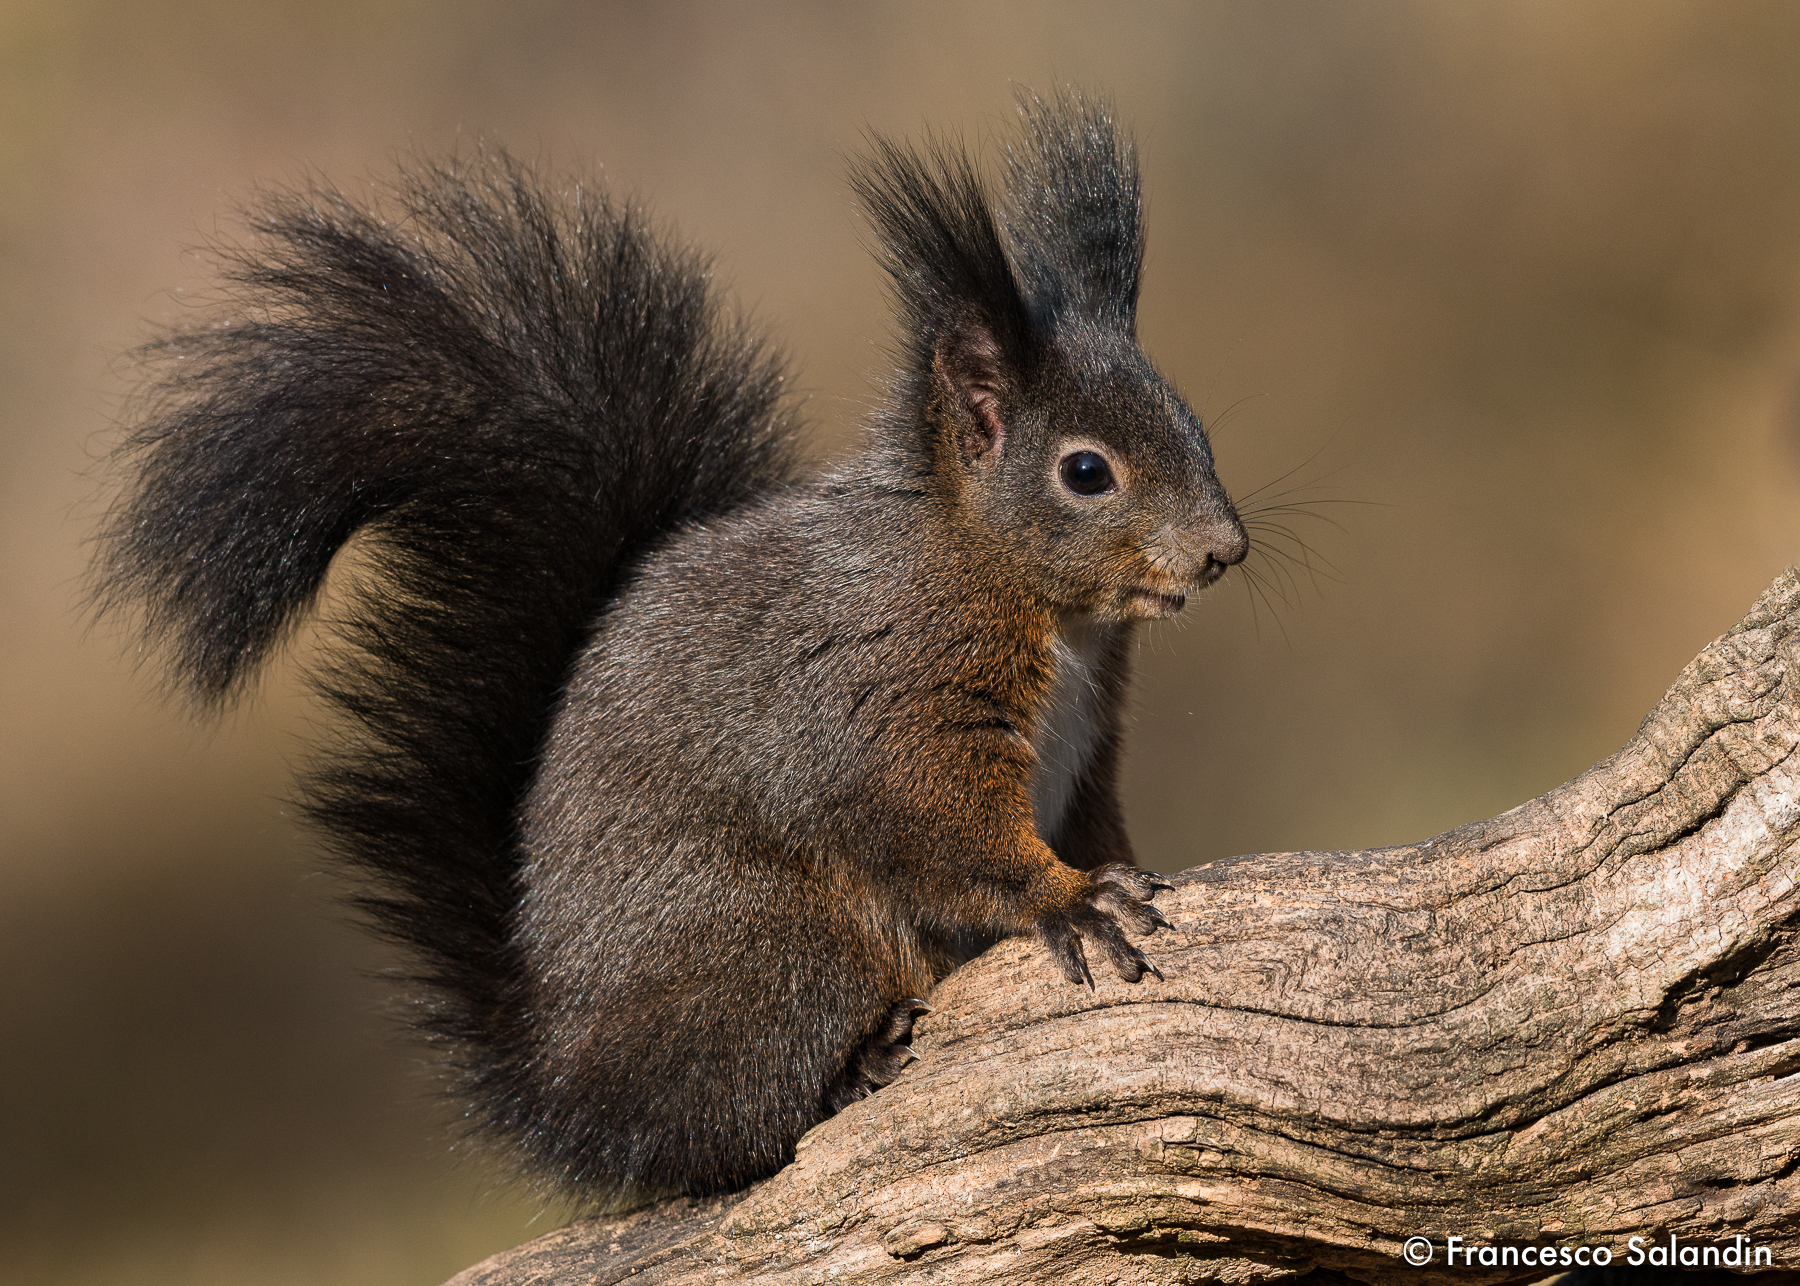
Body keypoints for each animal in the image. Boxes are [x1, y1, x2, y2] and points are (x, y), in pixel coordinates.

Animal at [93, 90, 1248, 1204]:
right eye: (1086, 471)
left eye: (1194, 422)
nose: (1224, 551)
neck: (1020, 588)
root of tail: (565, 1088)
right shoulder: (891, 693)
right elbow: (937, 825)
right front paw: (1070, 897)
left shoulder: (1085, 745)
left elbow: (1092, 818)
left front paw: (1125, 869)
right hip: (781, 944)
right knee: (730, 1125)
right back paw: (858, 1062)